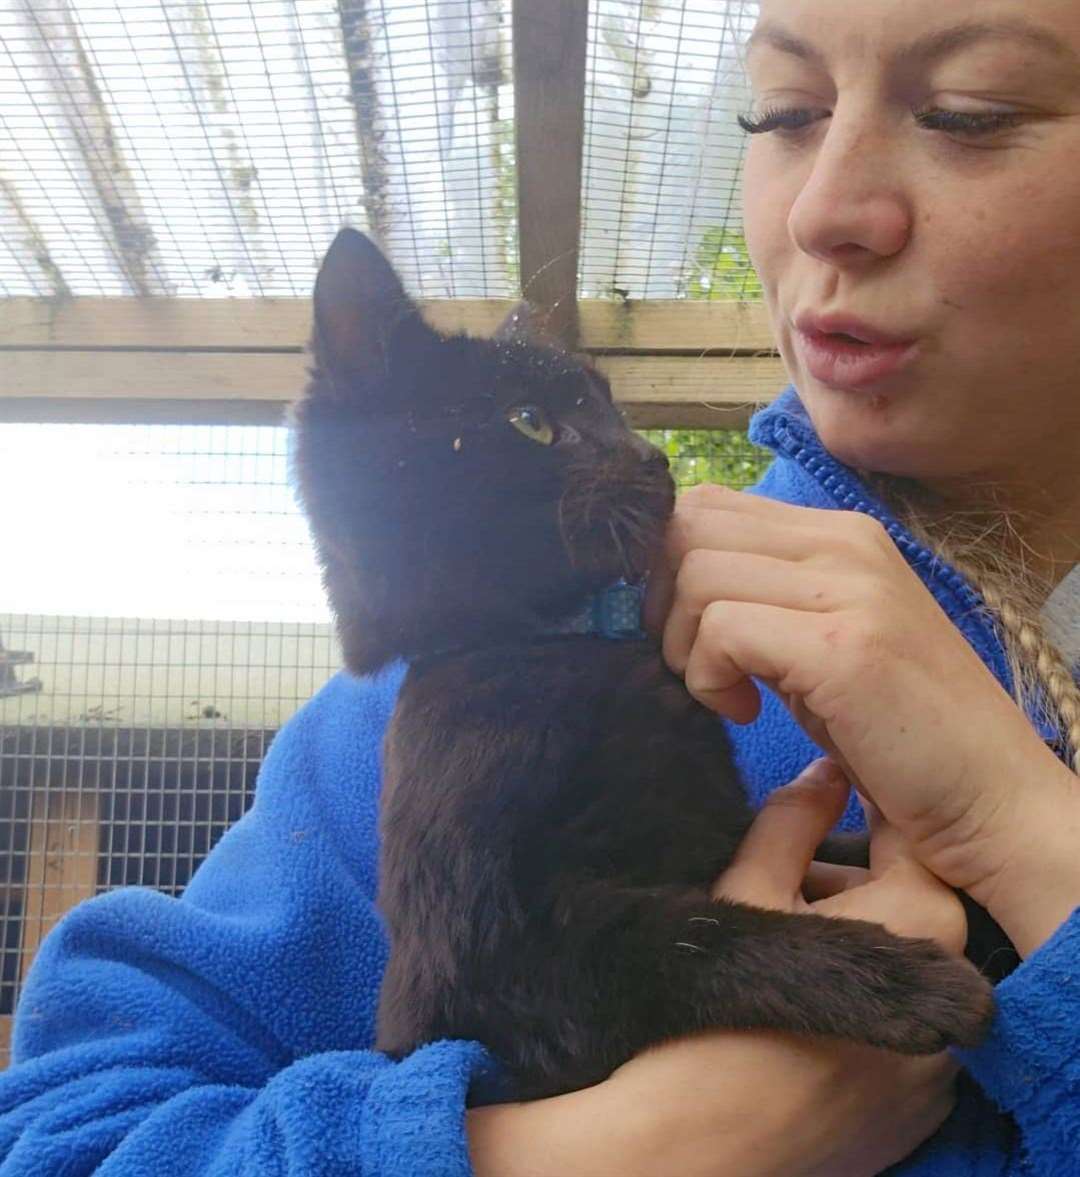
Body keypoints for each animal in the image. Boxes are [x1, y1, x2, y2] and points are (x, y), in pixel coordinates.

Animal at [291, 229, 1002, 1101]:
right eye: (529, 421)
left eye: (611, 408)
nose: (652, 456)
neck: (571, 647)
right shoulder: (497, 968)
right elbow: (702, 936)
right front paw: (903, 980)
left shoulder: (726, 826)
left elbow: (839, 853)